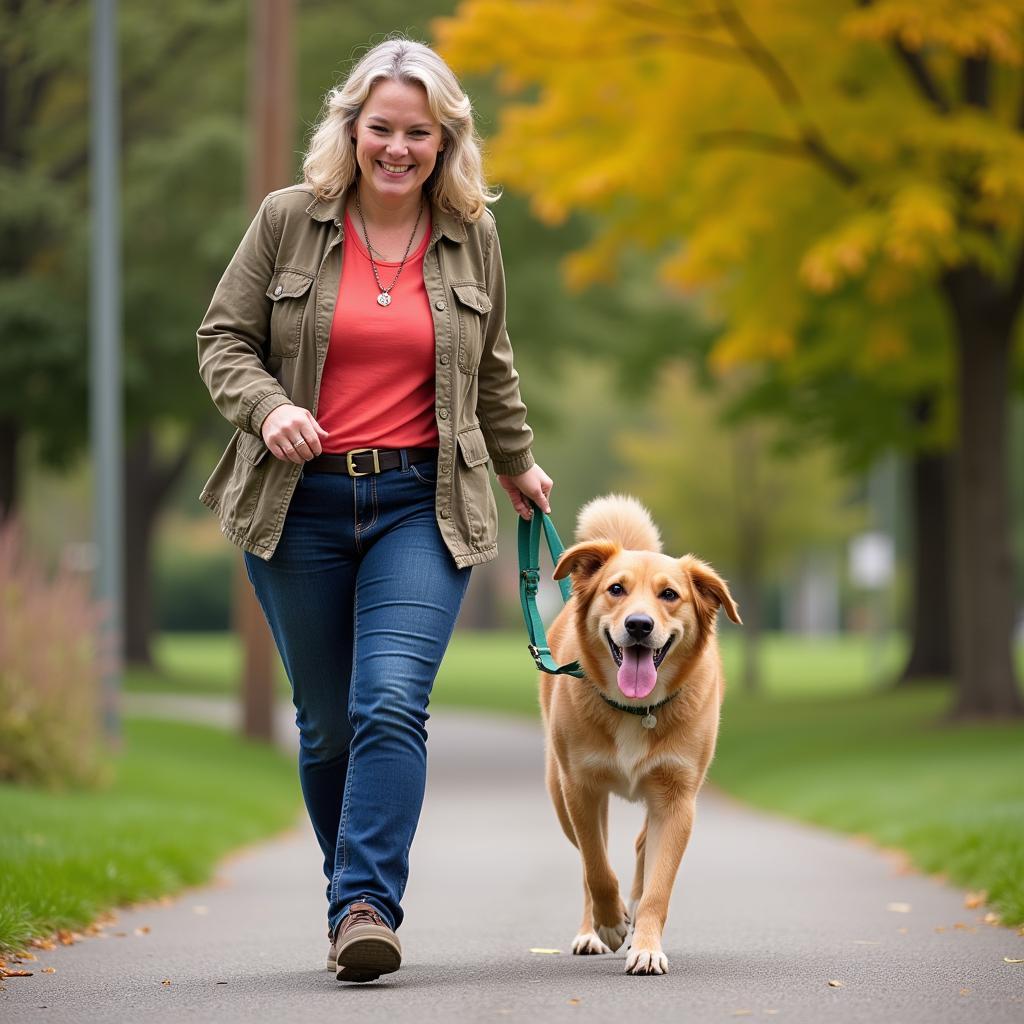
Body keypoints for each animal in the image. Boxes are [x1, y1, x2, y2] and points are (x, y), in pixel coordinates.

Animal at [540, 493, 741, 974]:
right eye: (616, 589)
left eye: (670, 595)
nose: (638, 625)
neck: (636, 709)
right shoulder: (580, 789)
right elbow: (596, 867)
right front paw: (611, 923)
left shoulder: (677, 800)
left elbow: (658, 887)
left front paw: (646, 945)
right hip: (559, 793)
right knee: (589, 862)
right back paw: (593, 929)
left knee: (640, 847)